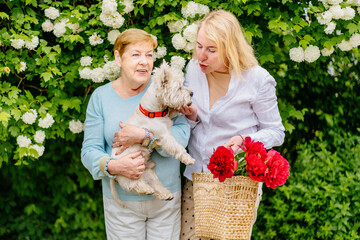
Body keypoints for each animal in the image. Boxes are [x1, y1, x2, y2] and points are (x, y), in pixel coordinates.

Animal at [109, 61, 195, 206]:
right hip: (129, 171)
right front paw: (188, 159)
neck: (153, 111)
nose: (192, 93)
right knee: (134, 185)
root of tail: (112, 175)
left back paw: (165, 195)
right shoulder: (165, 136)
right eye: (179, 87)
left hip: (149, 174)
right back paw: (145, 189)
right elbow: (177, 147)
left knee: (156, 187)